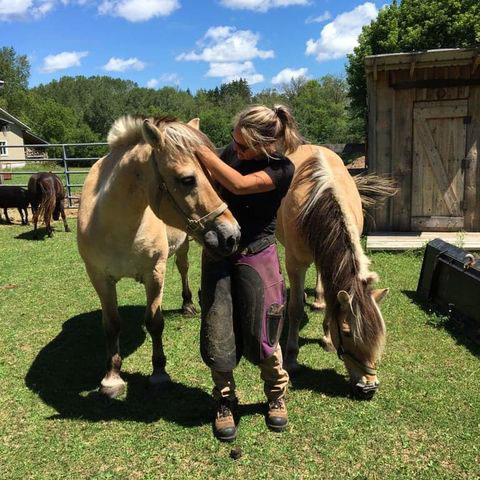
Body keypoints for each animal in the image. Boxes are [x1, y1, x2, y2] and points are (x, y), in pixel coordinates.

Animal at [78, 116, 240, 398]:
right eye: (187, 179)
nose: (232, 235)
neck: (116, 225)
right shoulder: (99, 278)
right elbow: (111, 325)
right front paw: (112, 378)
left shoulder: (155, 273)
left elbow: (154, 322)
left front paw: (159, 373)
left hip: (184, 246)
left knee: (184, 268)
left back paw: (188, 305)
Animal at [278, 144, 394, 400]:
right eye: (348, 333)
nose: (368, 387)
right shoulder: (295, 262)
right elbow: (295, 309)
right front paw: (291, 357)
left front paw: (326, 337)